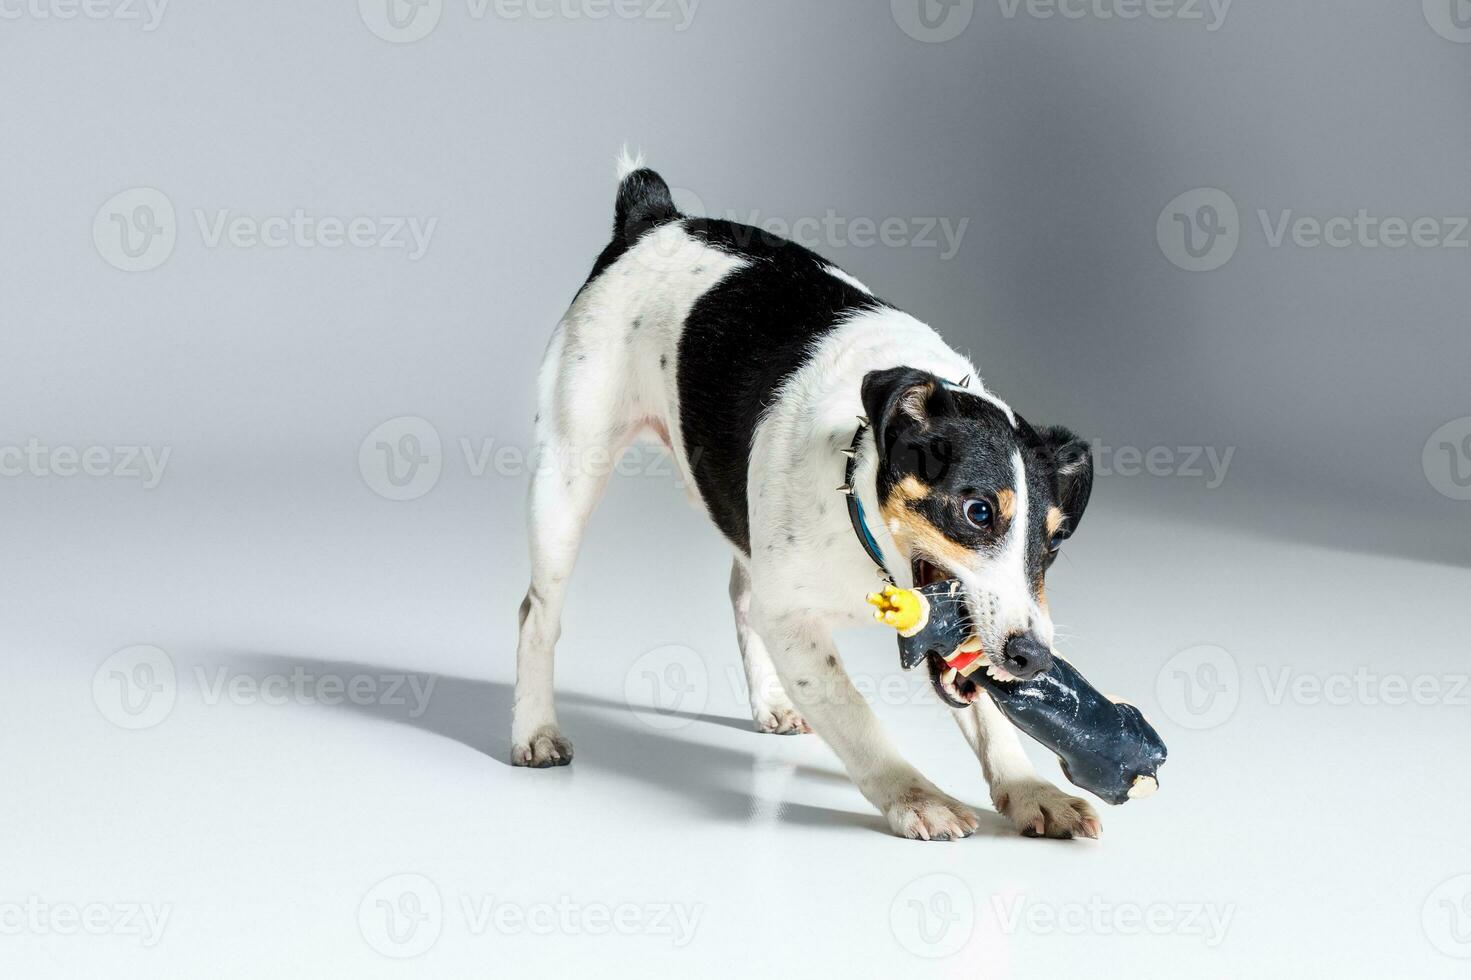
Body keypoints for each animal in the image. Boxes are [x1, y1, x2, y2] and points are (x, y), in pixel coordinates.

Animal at [517, 154, 1106, 841]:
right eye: (978, 512)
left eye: (1055, 542)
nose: (1033, 657)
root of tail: (655, 215)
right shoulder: (794, 622)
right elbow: (854, 715)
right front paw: (915, 796)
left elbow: (986, 711)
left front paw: (1031, 790)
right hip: (567, 481)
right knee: (537, 614)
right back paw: (534, 729)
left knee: (741, 596)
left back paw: (770, 702)